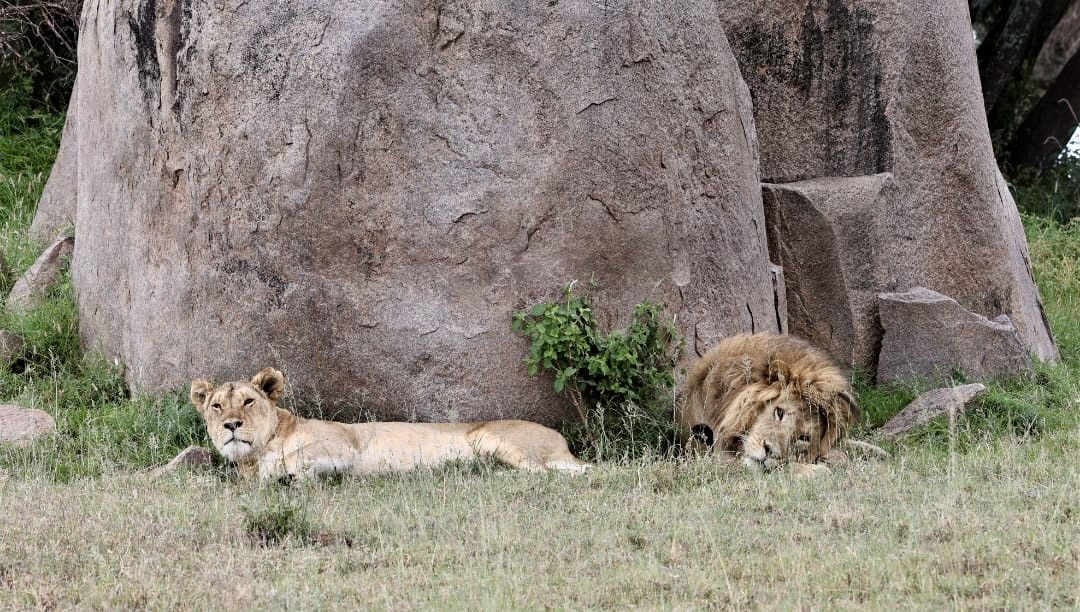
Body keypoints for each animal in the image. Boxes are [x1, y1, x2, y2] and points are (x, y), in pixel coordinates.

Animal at [190, 368, 591, 482]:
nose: (231, 425)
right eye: (216, 406)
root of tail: (562, 441)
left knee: (563, 472)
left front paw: (282, 473)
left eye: (248, 401)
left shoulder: (345, 444)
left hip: (490, 438)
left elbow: (295, 457)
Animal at [679, 333, 868, 474]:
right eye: (779, 412)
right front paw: (818, 469)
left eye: (804, 438)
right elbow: (782, 468)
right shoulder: (713, 454)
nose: (769, 452)